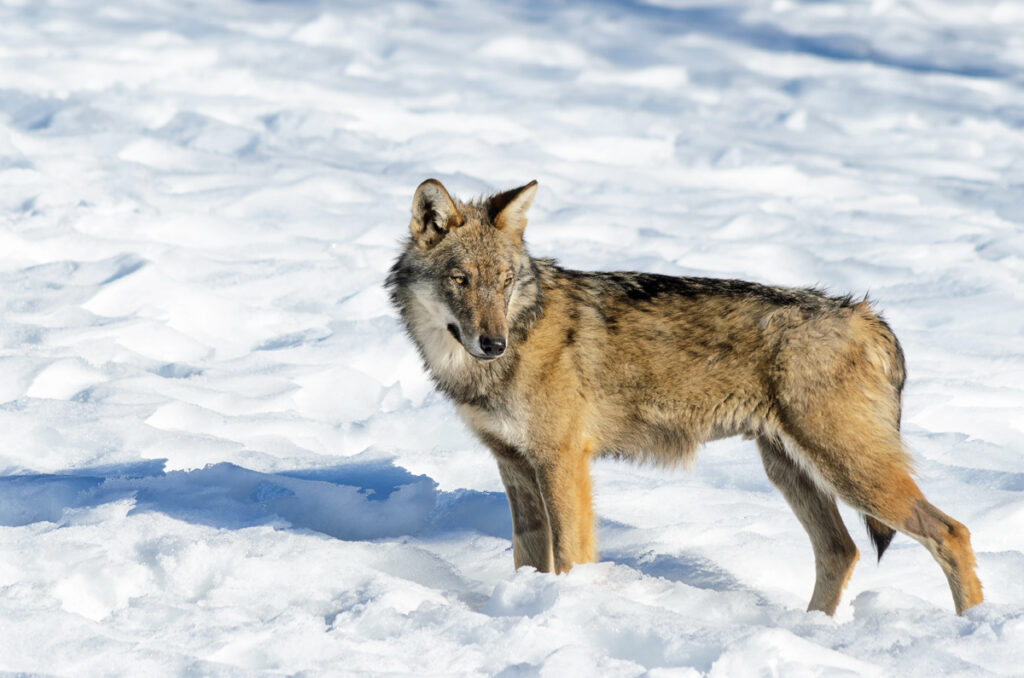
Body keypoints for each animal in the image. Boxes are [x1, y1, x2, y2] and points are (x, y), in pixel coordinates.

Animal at [385, 178, 983, 615]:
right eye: (461, 280)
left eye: (506, 282)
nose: (493, 343)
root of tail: (866, 315)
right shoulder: (513, 465)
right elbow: (529, 560)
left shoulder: (562, 462)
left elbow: (573, 556)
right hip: (790, 470)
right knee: (841, 550)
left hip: (850, 471)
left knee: (951, 531)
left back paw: (971, 629)